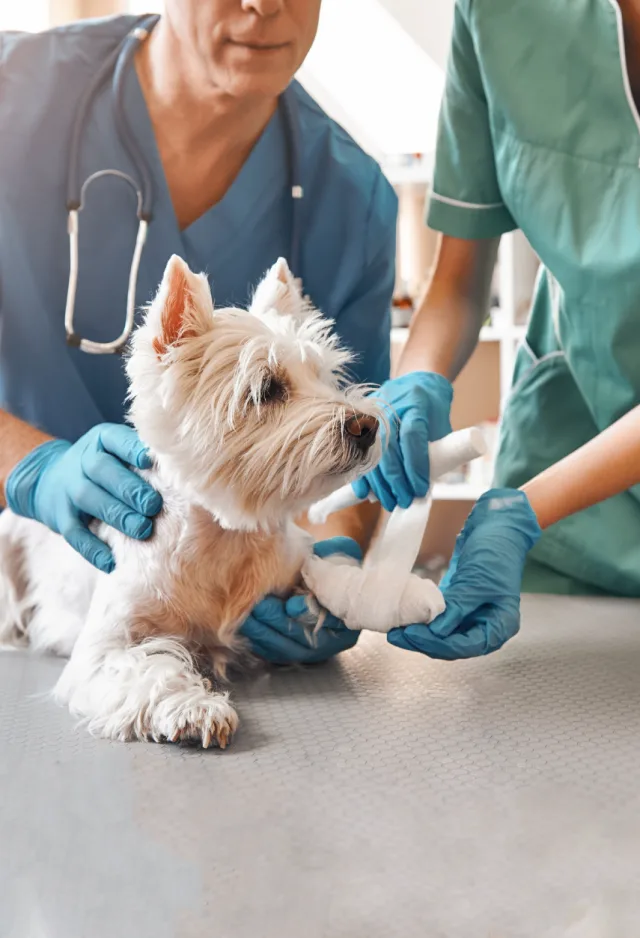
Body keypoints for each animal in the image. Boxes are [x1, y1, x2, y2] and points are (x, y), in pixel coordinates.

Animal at [0, 254, 382, 744]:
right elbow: (150, 670)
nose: (367, 426)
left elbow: (328, 571)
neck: (224, 540)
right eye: (268, 389)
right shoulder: (101, 651)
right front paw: (196, 708)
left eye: (323, 376)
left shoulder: (290, 564)